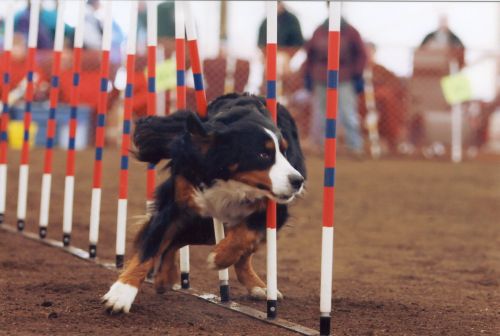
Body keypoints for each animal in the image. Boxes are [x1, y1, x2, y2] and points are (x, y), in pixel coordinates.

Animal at [101, 92, 304, 312]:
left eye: (284, 152)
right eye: (263, 154)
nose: (297, 181)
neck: (230, 179)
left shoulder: (276, 209)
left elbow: (245, 234)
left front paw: (219, 257)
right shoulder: (177, 201)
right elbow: (152, 245)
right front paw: (121, 293)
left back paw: (258, 286)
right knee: (174, 240)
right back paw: (165, 276)